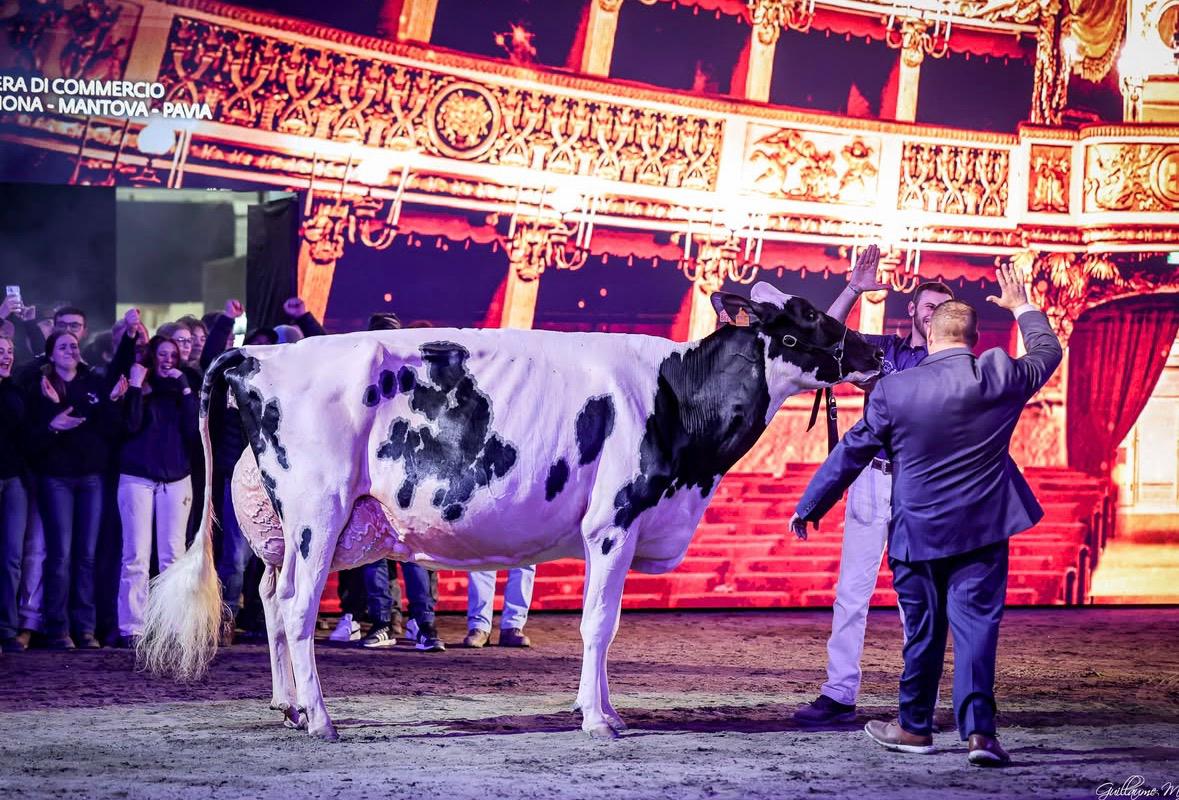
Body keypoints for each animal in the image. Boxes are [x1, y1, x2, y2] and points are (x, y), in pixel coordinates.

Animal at [138, 282, 882, 741]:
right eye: (809, 316)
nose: (876, 350)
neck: (676, 401)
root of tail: (259, 355)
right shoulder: (613, 523)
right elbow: (598, 625)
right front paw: (597, 721)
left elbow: (604, 625)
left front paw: (601, 708)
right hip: (317, 512)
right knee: (294, 610)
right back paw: (318, 718)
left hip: (299, 526)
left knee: (274, 597)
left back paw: (292, 708)